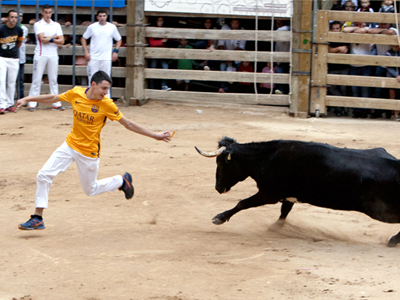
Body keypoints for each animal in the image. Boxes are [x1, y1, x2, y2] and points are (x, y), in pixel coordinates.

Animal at [197, 137, 400, 247]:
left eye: (221, 163)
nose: (218, 188)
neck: (267, 157)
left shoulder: (269, 194)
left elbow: (243, 203)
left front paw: (219, 218)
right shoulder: (287, 195)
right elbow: (284, 211)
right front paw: (275, 228)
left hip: (380, 210)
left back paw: (392, 241)